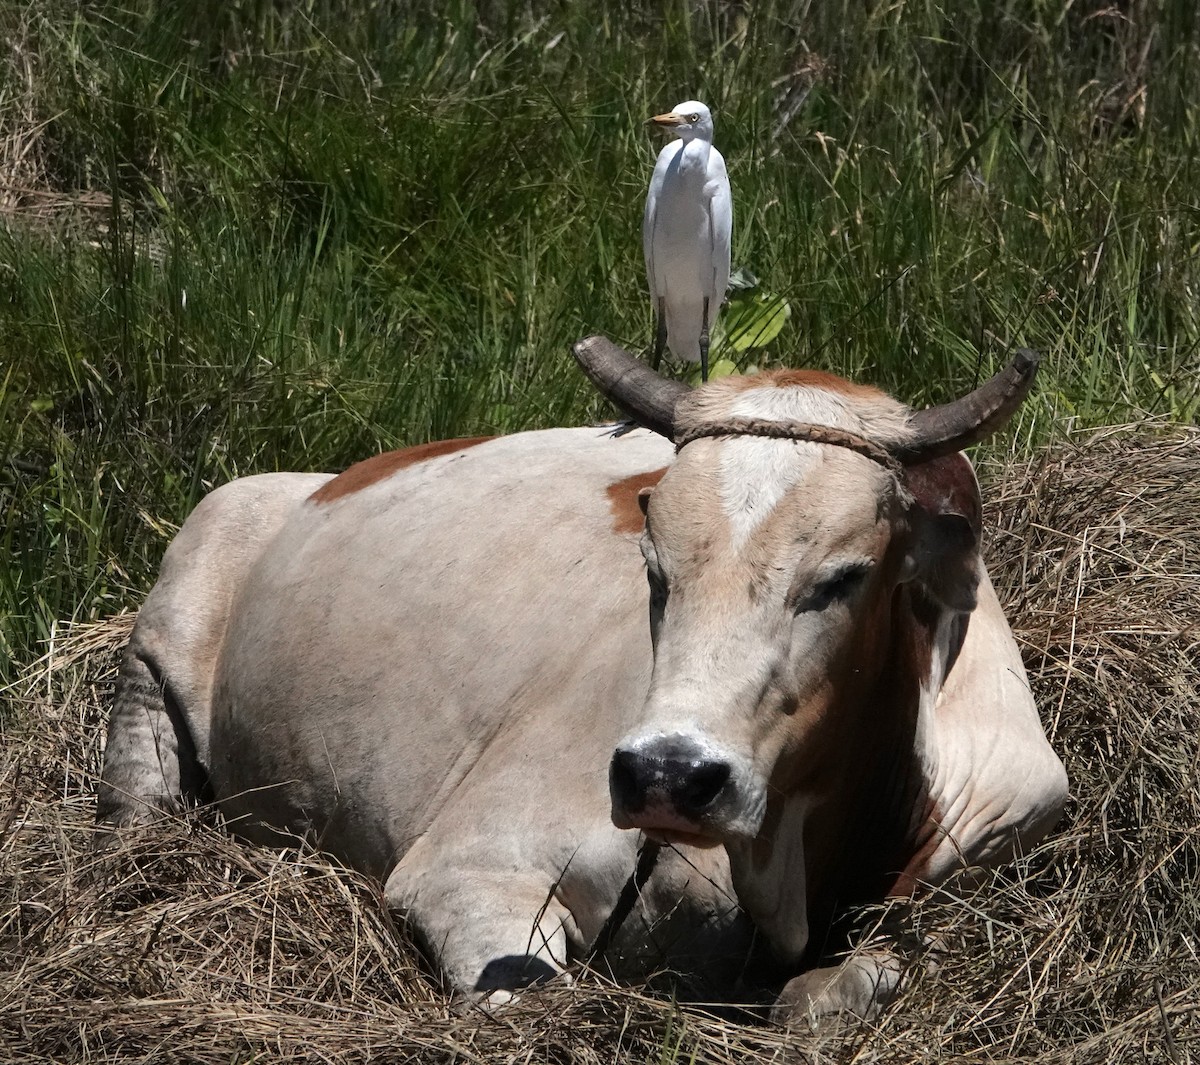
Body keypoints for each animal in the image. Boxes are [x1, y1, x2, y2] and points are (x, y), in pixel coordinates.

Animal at [96, 340, 1070, 1021]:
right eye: (654, 566)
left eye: (844, 576)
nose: (669, 774)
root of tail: (330, 474)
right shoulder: (470, 869)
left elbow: (843, 989)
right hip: (181, 594)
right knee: (137, 789)